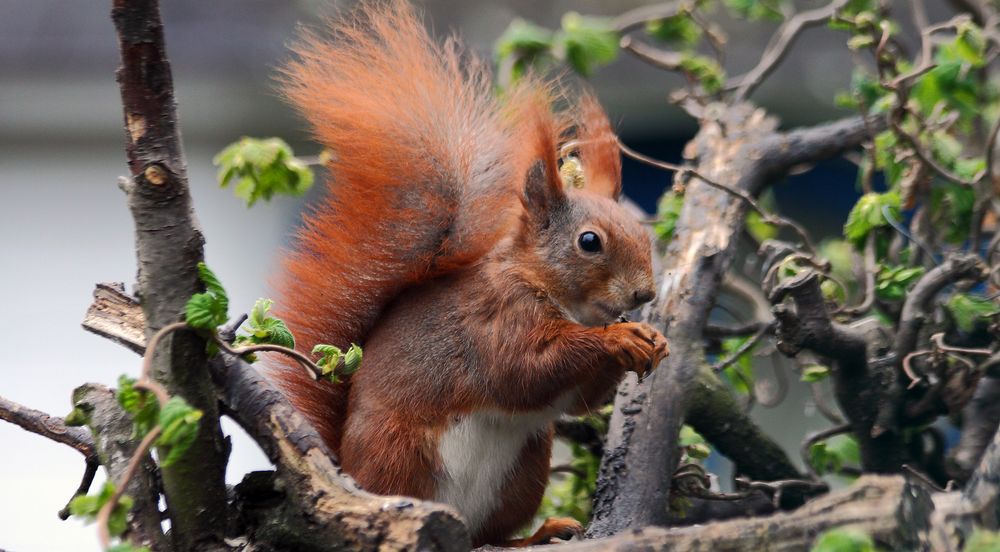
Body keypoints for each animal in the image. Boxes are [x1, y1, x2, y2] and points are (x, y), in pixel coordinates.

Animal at [270, 3, 668, 548]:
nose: (644, 292)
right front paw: (620, 338)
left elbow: (578, 401)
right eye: (590, 242)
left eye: (641, 232)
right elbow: (522, 369)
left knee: (491, 534)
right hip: (400, 454)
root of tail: (347, 470)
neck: (561, 298)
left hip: (523, 471)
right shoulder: (494, 316)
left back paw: (539, 533)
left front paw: (651, 339)